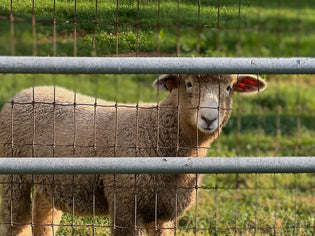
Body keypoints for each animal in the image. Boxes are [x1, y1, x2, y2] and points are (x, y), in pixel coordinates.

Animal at [0, 74, 266, 236]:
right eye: (189, 84)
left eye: (229, 88)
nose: (209, 118)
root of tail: (27, 91)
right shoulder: (126, 206)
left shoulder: (163, 215)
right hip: (13, 176)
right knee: (16, 222)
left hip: (49, 180)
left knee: (43, 218)